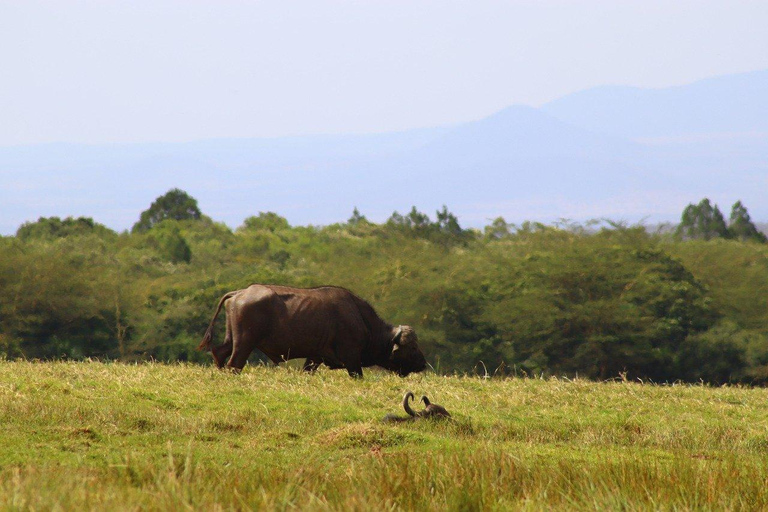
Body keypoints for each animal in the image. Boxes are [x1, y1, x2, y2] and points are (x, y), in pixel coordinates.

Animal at [196, 284, 426, 376]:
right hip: (244, 343)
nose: (423, 364)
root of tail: (240, 292)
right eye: (413, 347)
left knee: (219, 353)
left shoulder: (314, 358)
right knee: (234, 364)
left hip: (232, 340)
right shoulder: (352, 360)